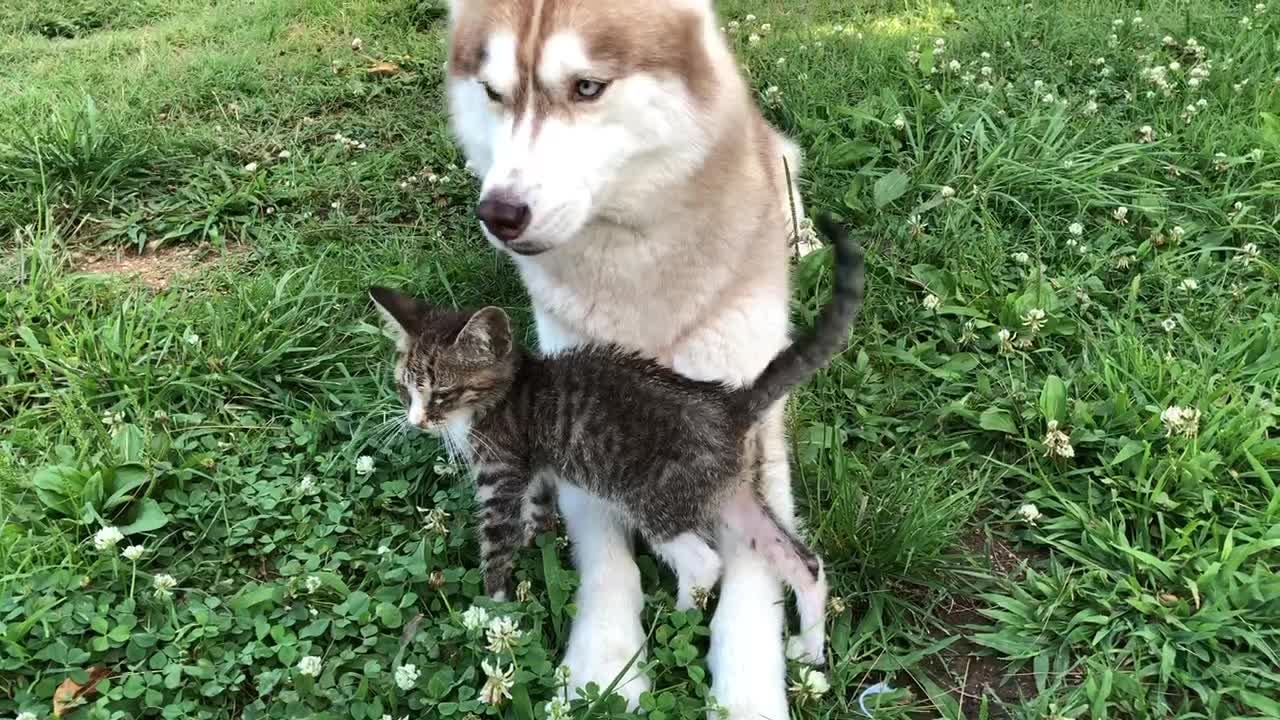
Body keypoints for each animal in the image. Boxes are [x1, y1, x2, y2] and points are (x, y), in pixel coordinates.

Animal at [373, 213, 870, 661]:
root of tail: (731, 402)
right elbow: (536, 509)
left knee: (704, 562)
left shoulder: (499, 472)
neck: (510, 388)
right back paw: (809, 647)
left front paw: (490, 612)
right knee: (803, 562)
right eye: (404, 388)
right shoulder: (533, 469)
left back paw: (677, 615)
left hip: (655, 498)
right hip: (735, 495)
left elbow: (496, 542)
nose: (416, 422)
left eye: (443, 393)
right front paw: (539, 542)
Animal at [445, 0, 808, 712]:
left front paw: (748, 690)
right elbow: (605, 556)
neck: (640, 270)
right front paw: (604, 661)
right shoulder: (567, 412)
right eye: (493, 93)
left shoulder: (753, 420)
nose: (498, 213)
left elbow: (757, 562)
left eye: (587, 87)